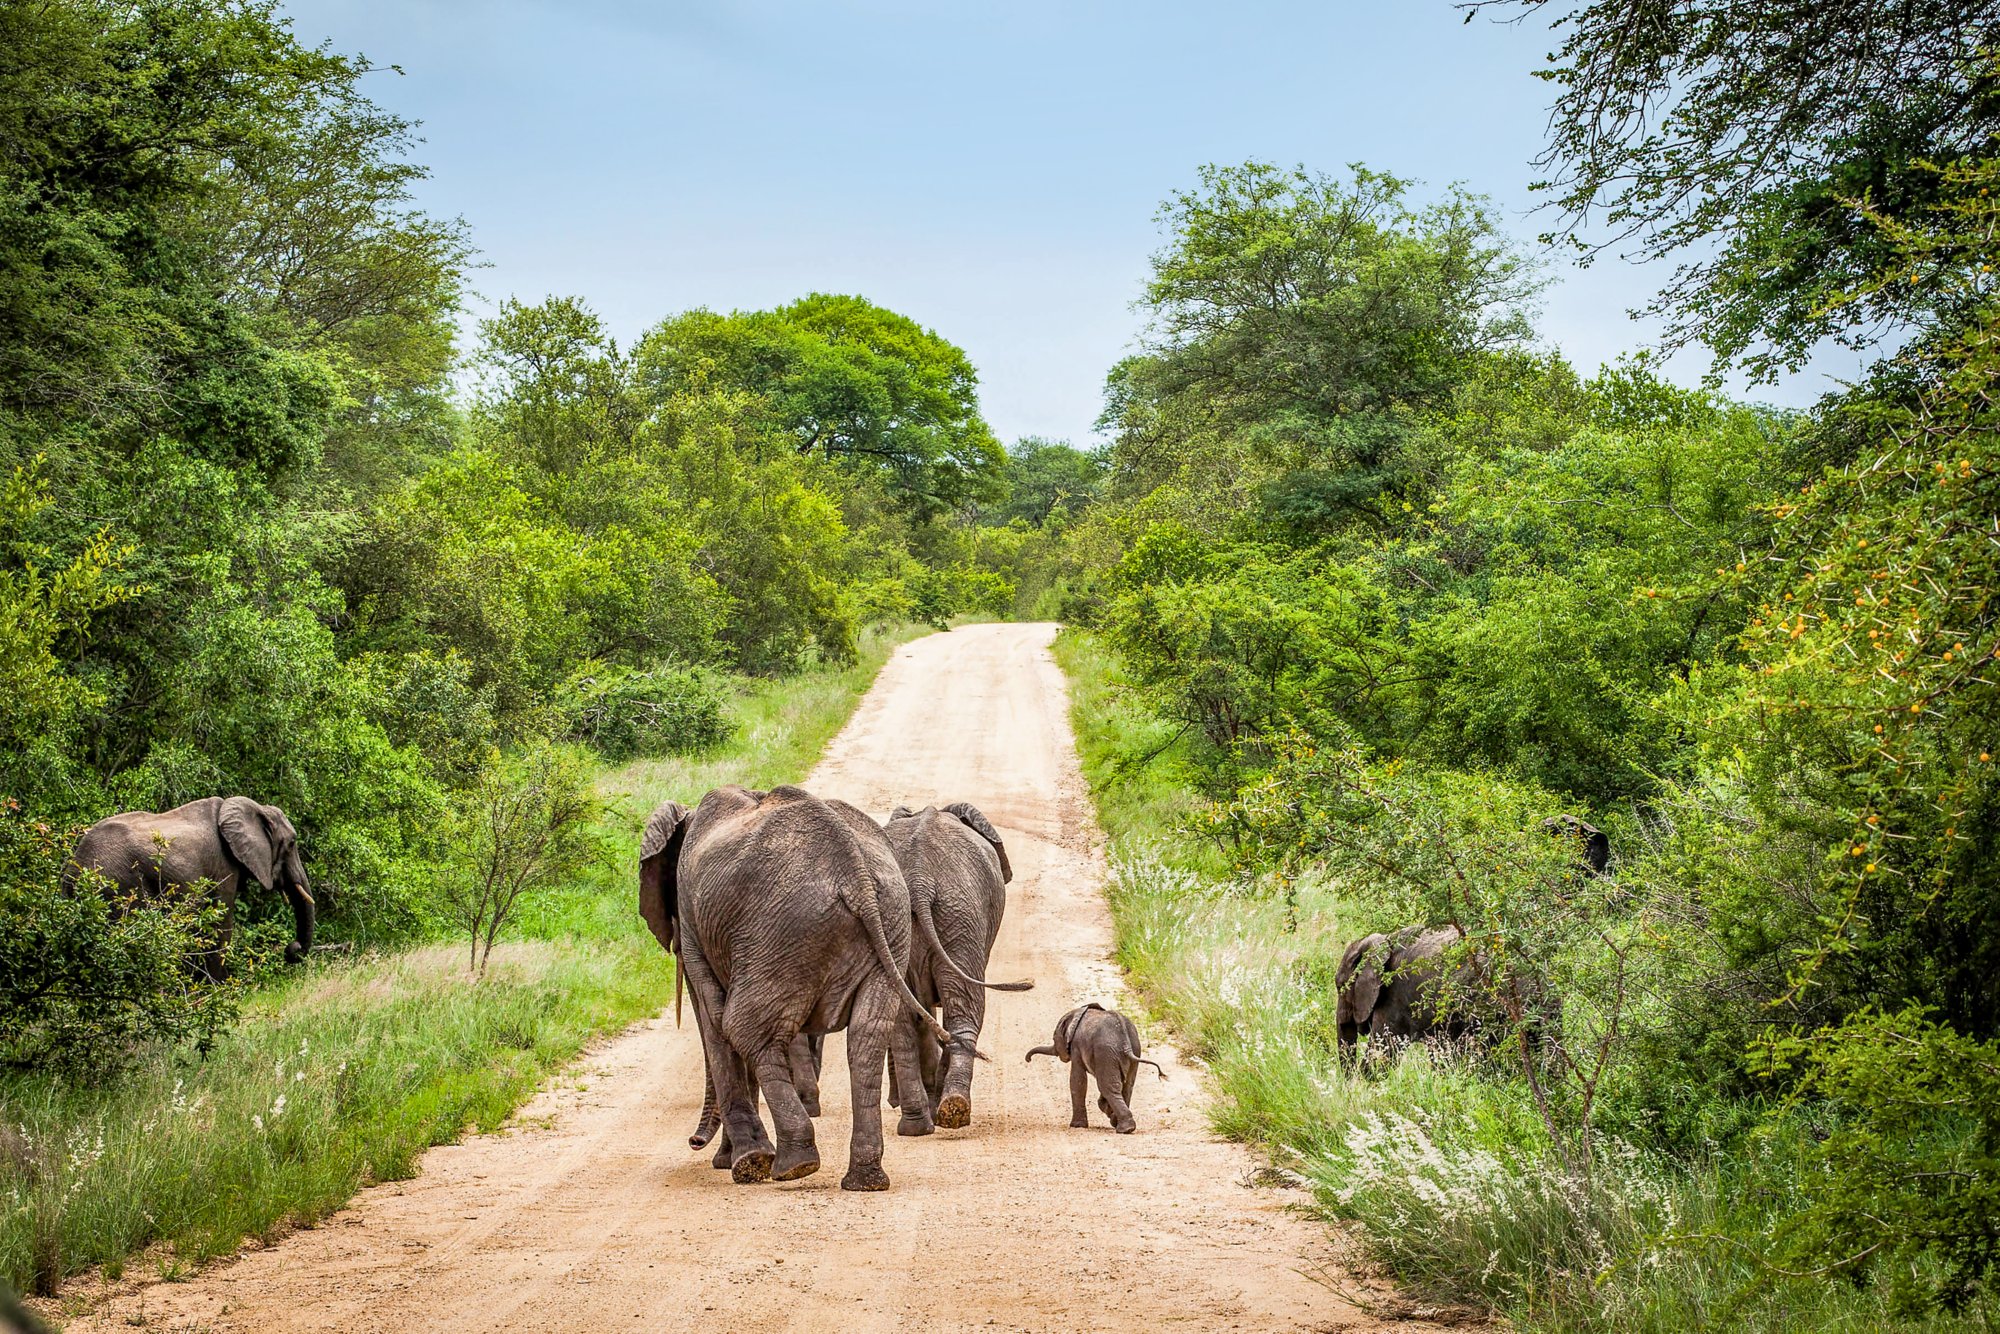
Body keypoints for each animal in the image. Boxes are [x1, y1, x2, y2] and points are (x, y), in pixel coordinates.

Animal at [66, 792, 314, 980]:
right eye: (292, 843)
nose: (292, 949)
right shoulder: (223, 865)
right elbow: (221, 921)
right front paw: (221, 989)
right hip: (121, 887)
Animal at [640, 784, 952, 1192]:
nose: (693, 1142)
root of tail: (855, 875)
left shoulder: (694, 920)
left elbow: (714, 1022)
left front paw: (742, 1162)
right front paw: (732, 1160)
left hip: (783, 932)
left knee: (743, 1028)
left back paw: (791, 1165)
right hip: (890, 920)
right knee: (866, 1037)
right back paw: (864, 1180)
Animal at [884, 800, 1032, 1136]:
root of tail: (919, 880)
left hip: (947, 918)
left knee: (904, 1024)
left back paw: (922, 1123)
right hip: (962, 915)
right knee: (962, 1014)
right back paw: (951, 1112)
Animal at [1024, 1000, 1168, 1136]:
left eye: (1054, 1038)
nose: (1028, 1059)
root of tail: (1125, 1042)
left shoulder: (1076, 1046)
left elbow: (1077, 1080)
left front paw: (1077, 1126)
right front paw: (1106, 1110)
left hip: (1105, 1052)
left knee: (1107, 1086)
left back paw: (1124, 1128)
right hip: (1132, 1050)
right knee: (1127, 1086)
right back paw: (1119, 1124)